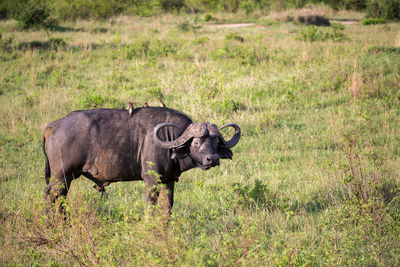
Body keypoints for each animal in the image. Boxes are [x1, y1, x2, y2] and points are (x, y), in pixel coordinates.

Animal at [43, 107, 241, 214]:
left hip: (60, 179)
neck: (169, 140)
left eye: (215, 142)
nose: (212, 159)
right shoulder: (151, 181)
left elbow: (168, 207)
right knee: (54, 199)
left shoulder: (169, 181)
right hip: (62, 177)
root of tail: (54, 126)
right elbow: (150, 206)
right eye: (197, 142)